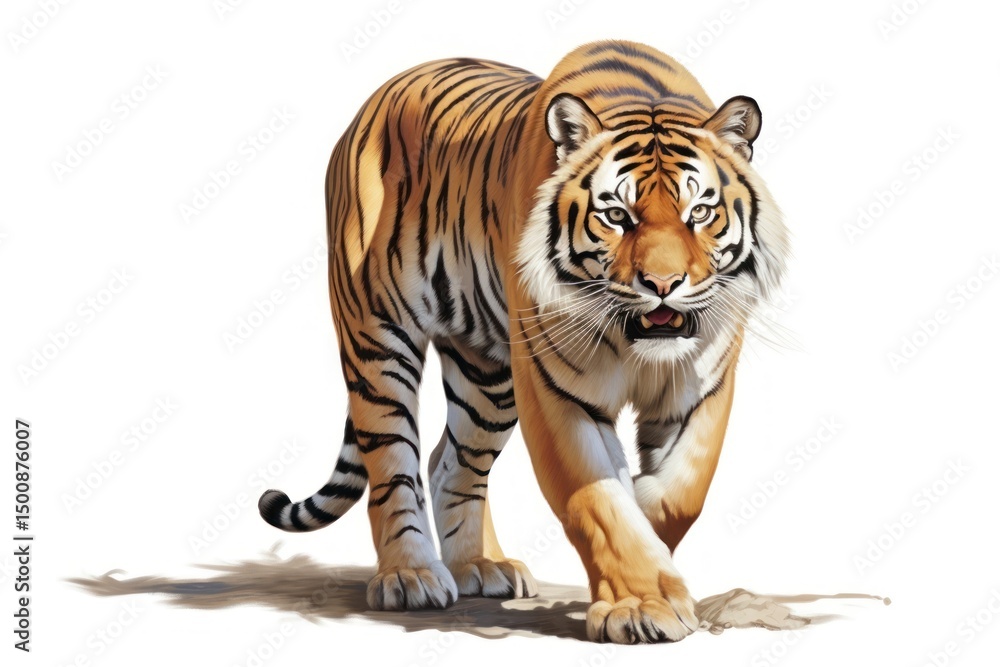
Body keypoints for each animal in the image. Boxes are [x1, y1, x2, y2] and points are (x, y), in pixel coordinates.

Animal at [258, 39, 789, 644]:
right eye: (616, 215)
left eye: (698, 212)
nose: (662, 284)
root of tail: (376, 99)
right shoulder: (556, 394)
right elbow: (597, 501)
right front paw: (641, 606)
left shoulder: (702, 389)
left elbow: (680, 495)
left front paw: (651, 547)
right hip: (378, 342)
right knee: (393, 465)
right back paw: (411, 577)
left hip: (487, 378)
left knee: (453, 463)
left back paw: (479, 566)